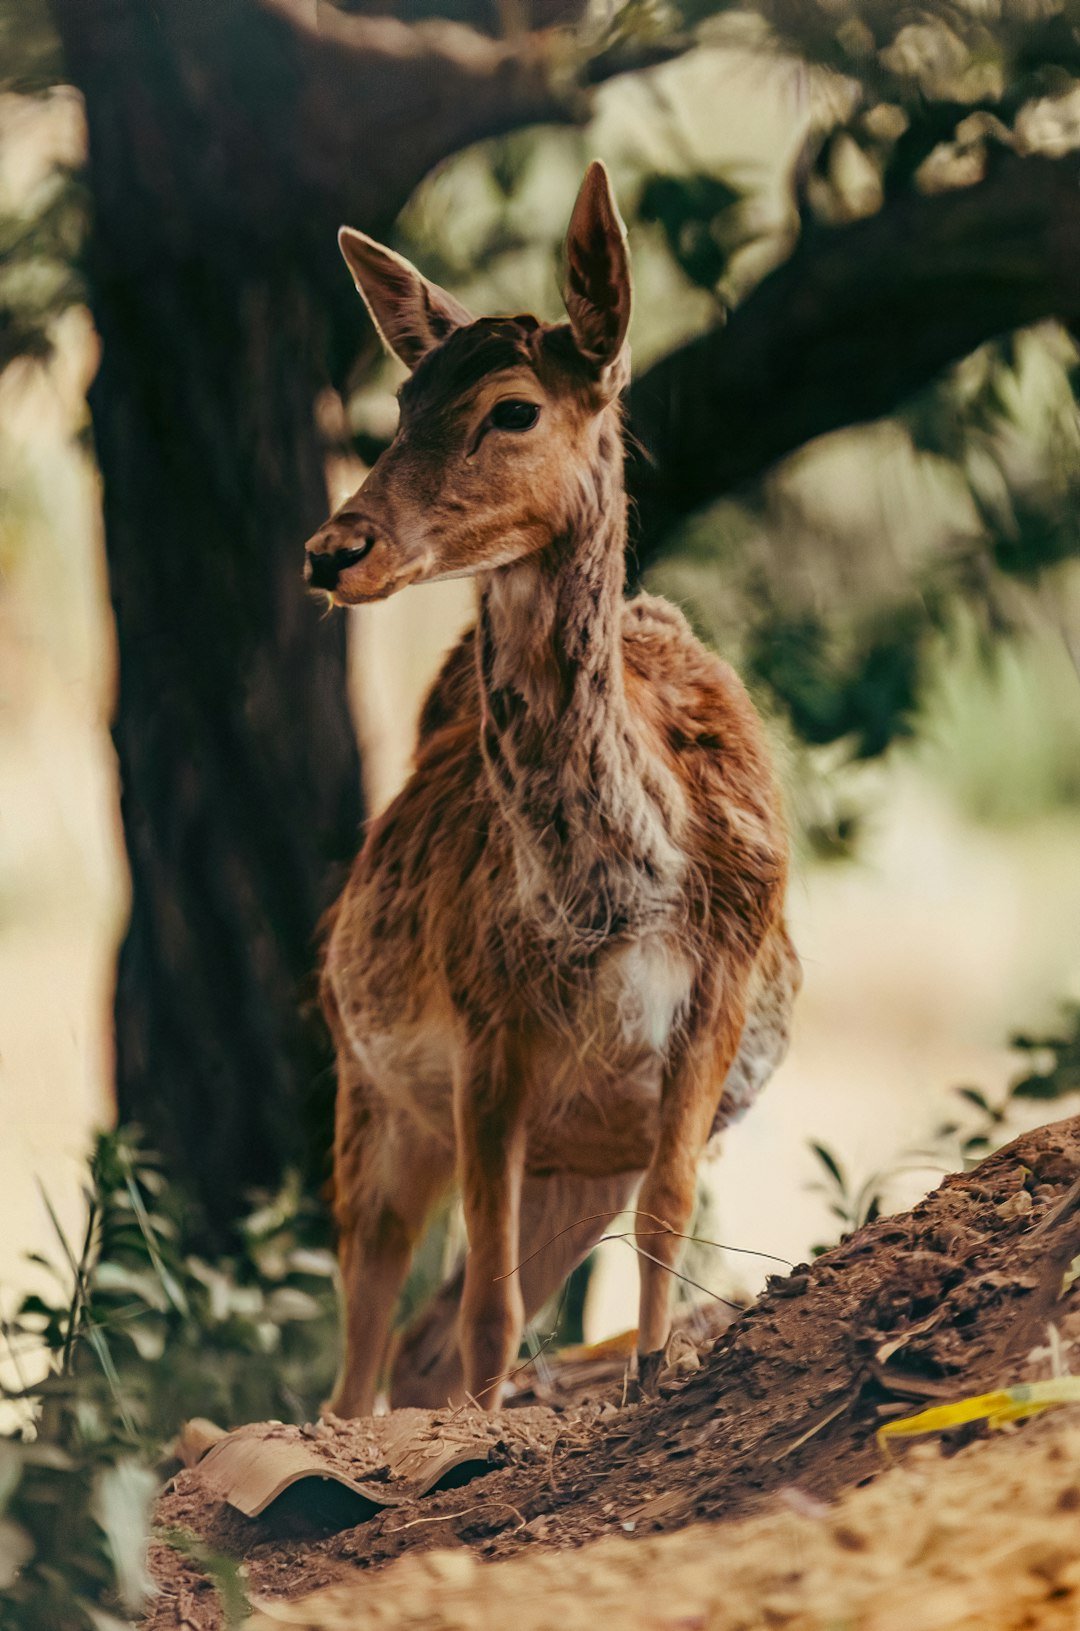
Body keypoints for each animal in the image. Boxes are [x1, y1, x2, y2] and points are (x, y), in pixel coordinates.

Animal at [305, 161, 801, 1416]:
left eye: (513, 408)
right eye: (399, 404)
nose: (333, 550)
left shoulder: (713, 999)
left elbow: (668, 1215)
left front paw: (654, 1375)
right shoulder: (486, 1014)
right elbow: (491, 1298)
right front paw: (490, 1425)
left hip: (575, 1159)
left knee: (421, 1332)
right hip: (369, 1082)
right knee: (367, 1327)